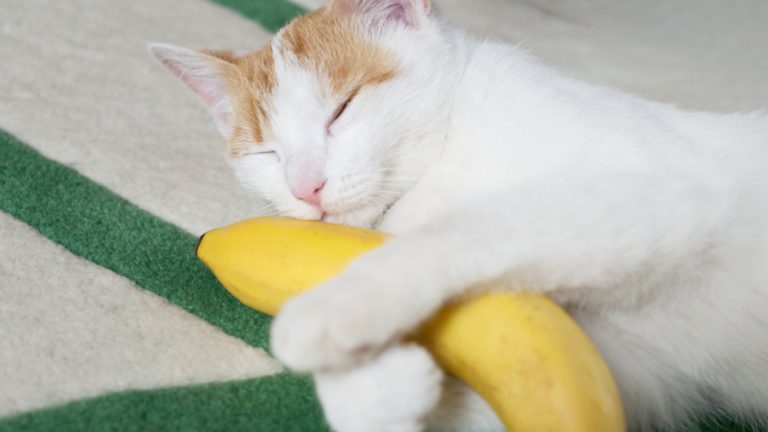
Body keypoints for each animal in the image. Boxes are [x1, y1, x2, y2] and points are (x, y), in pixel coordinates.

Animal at [150, 0, 768, 428]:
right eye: (266, 154)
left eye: (342, 109)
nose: (307, 187)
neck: (440, 164)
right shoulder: (603, 366)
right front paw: (376, 384)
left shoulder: (653, 192)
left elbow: (468, 231)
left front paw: (334, 308)